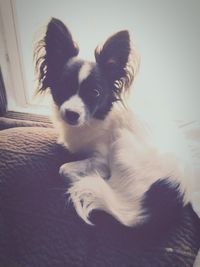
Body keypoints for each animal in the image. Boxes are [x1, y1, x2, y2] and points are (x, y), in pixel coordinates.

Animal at [34, 17, 194, 230]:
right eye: (62, 86)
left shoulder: (101, 159)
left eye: (95, 93)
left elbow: (64, 168)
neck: (97, 118)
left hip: (121, 143)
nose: (71, 114)